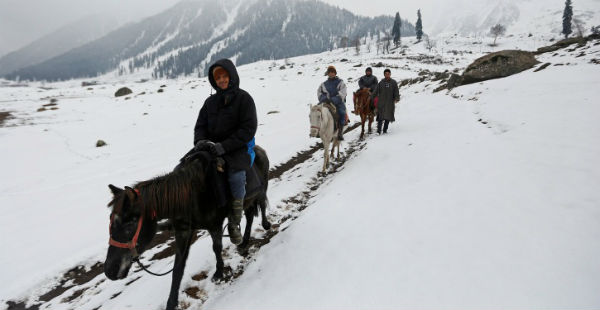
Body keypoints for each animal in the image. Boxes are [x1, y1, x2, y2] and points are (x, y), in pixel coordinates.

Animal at [104, 147, 270, 310]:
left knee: (261, 206)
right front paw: (171, 302)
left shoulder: (214, 225)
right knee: (250, 215)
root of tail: (259, 150)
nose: (109, 271)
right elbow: (178, 267)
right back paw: (244, 242)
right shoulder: (183, 232)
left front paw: (218, 273)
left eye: (130, 222)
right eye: (111, 221)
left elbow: (216, 248)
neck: (193, 195)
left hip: (261, 189)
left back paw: (263, 227)